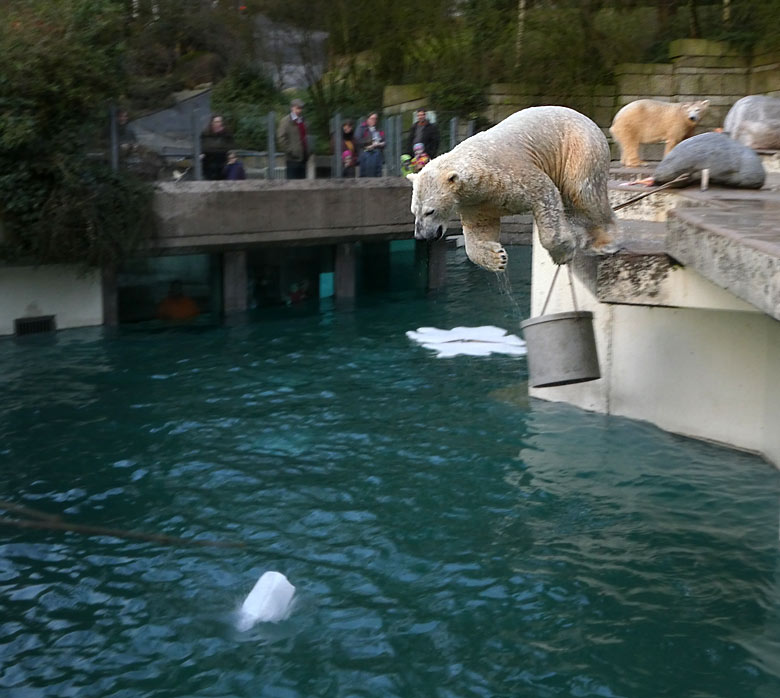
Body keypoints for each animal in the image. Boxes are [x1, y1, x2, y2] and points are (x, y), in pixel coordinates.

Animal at [406, 106, 620, 270]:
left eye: (430, 211)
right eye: (414, 211)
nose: (421, 235)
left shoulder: (509, 174)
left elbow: (544, 192)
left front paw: (564, 252)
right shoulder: (475, 202)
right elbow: (479, 229)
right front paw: (498, 258)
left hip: (580, 148)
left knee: (583, 193)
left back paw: (606, 241)